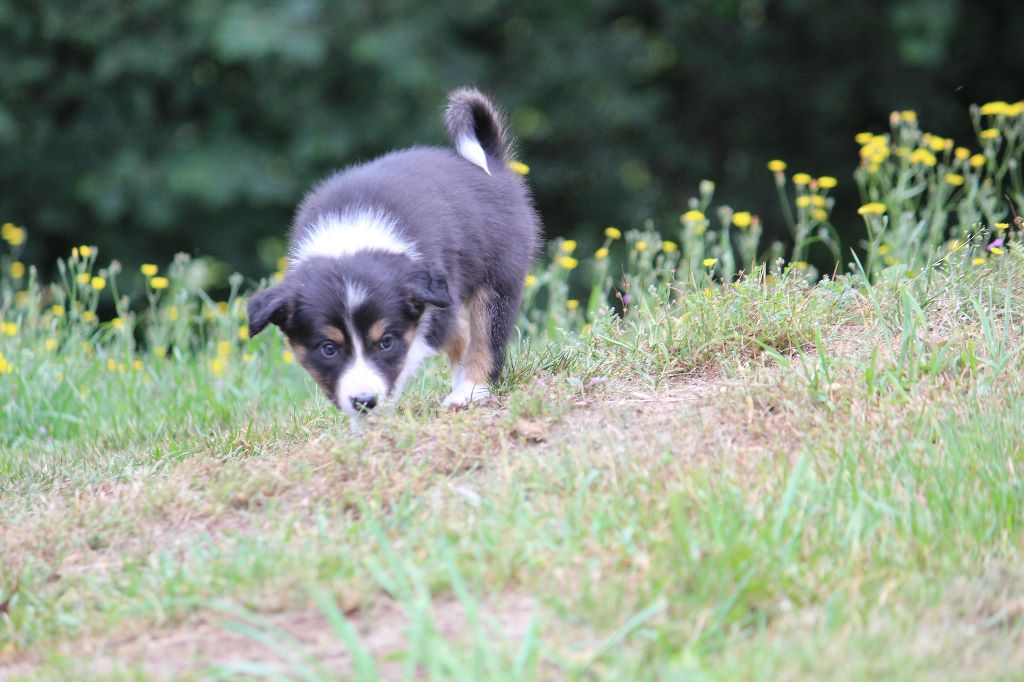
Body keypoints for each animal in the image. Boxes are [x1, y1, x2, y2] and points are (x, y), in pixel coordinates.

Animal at [247, 88, 541, 416]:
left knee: (486, 338)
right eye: (328, 349)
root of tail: (493, 162)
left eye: (385, 341)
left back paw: (469, 391)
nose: (364, 402)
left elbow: (405, 357)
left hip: (500, 276)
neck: (352, 238)